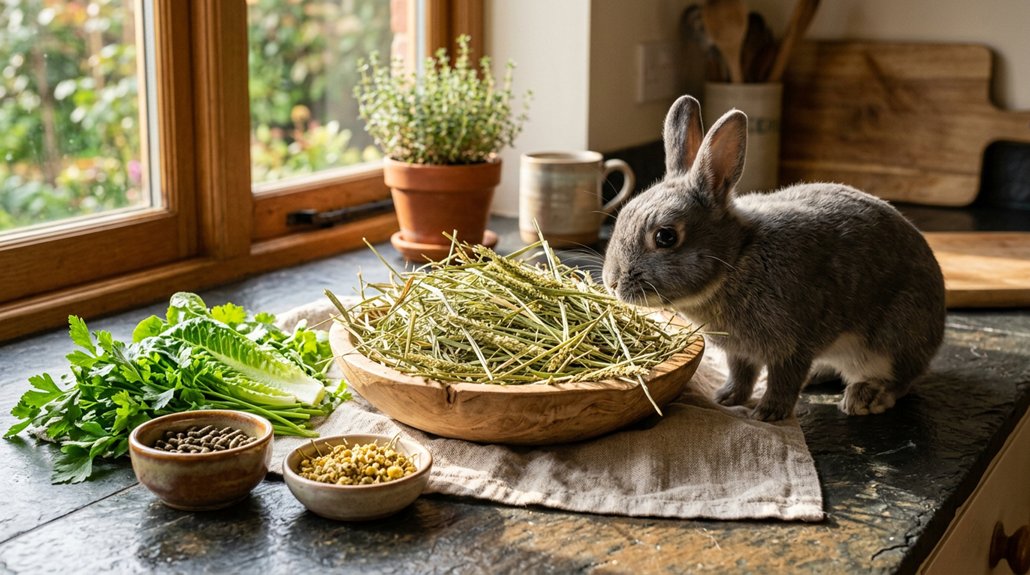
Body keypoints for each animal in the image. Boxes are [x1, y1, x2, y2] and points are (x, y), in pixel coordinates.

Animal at [602, 95, 946, 421]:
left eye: (666, 236)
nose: (612, 282)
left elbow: (785, 379)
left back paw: (865, 397)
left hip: (894, 336)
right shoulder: (739, 352)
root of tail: (938, 327)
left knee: (899, 378)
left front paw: (769, 412)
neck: (737, 258)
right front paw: (726, 397)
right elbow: (741, 373)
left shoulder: (793, 344)